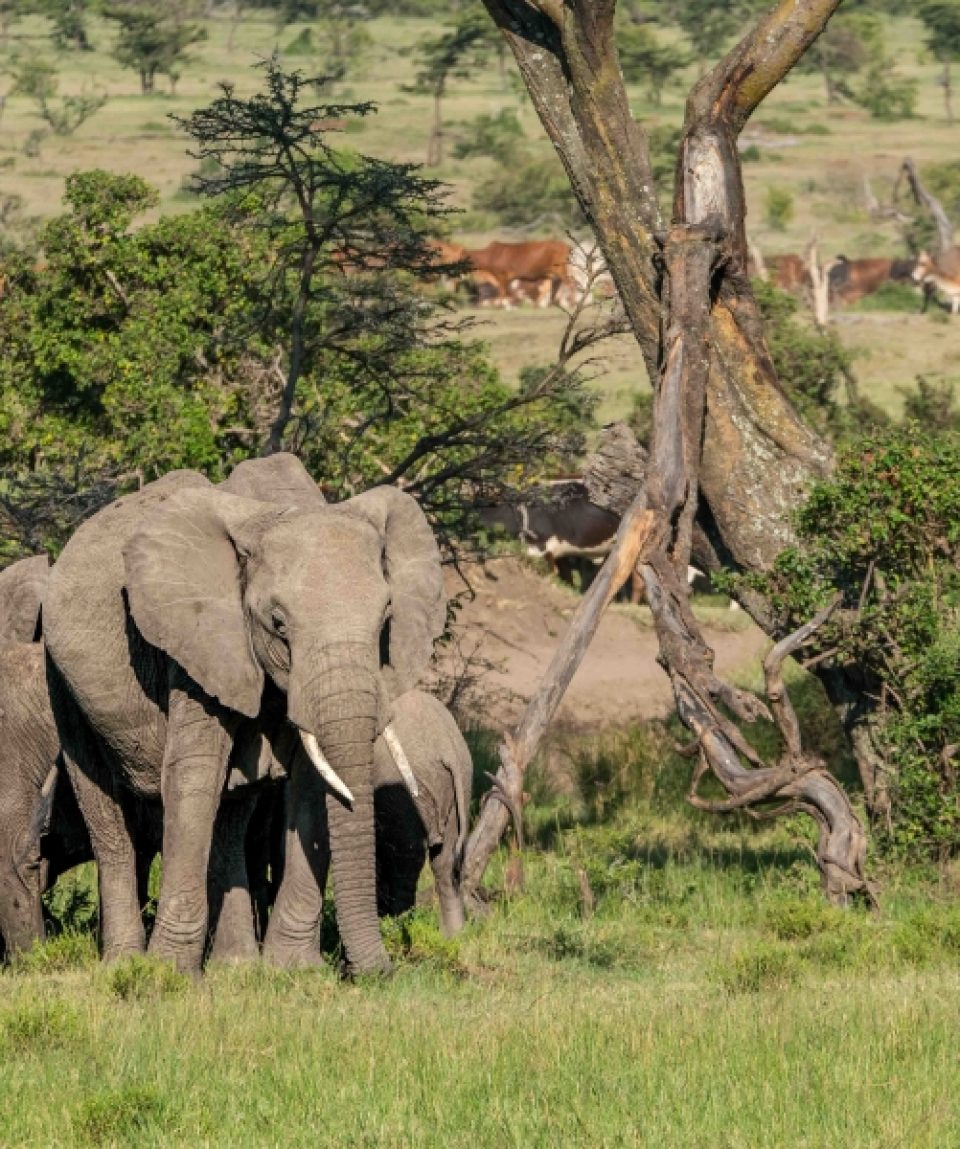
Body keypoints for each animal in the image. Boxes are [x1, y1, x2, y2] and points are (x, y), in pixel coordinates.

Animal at [43, 452, 447, 974]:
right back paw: (124, 964)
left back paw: (235, 965)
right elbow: (194, 774)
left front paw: (292, 970)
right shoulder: (193, 643)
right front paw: (168, 973)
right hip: (61, 677)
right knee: (104, 808)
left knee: (232, 810)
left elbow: (309, 782)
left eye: (385, 618)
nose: (381, 972)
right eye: (278, 623)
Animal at [372, 689, 473, 932]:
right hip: (462, 786)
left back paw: (395, 926)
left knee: (405, 861)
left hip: (408, 787)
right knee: (445, 862)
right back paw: (455, 935)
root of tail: (446, 746)